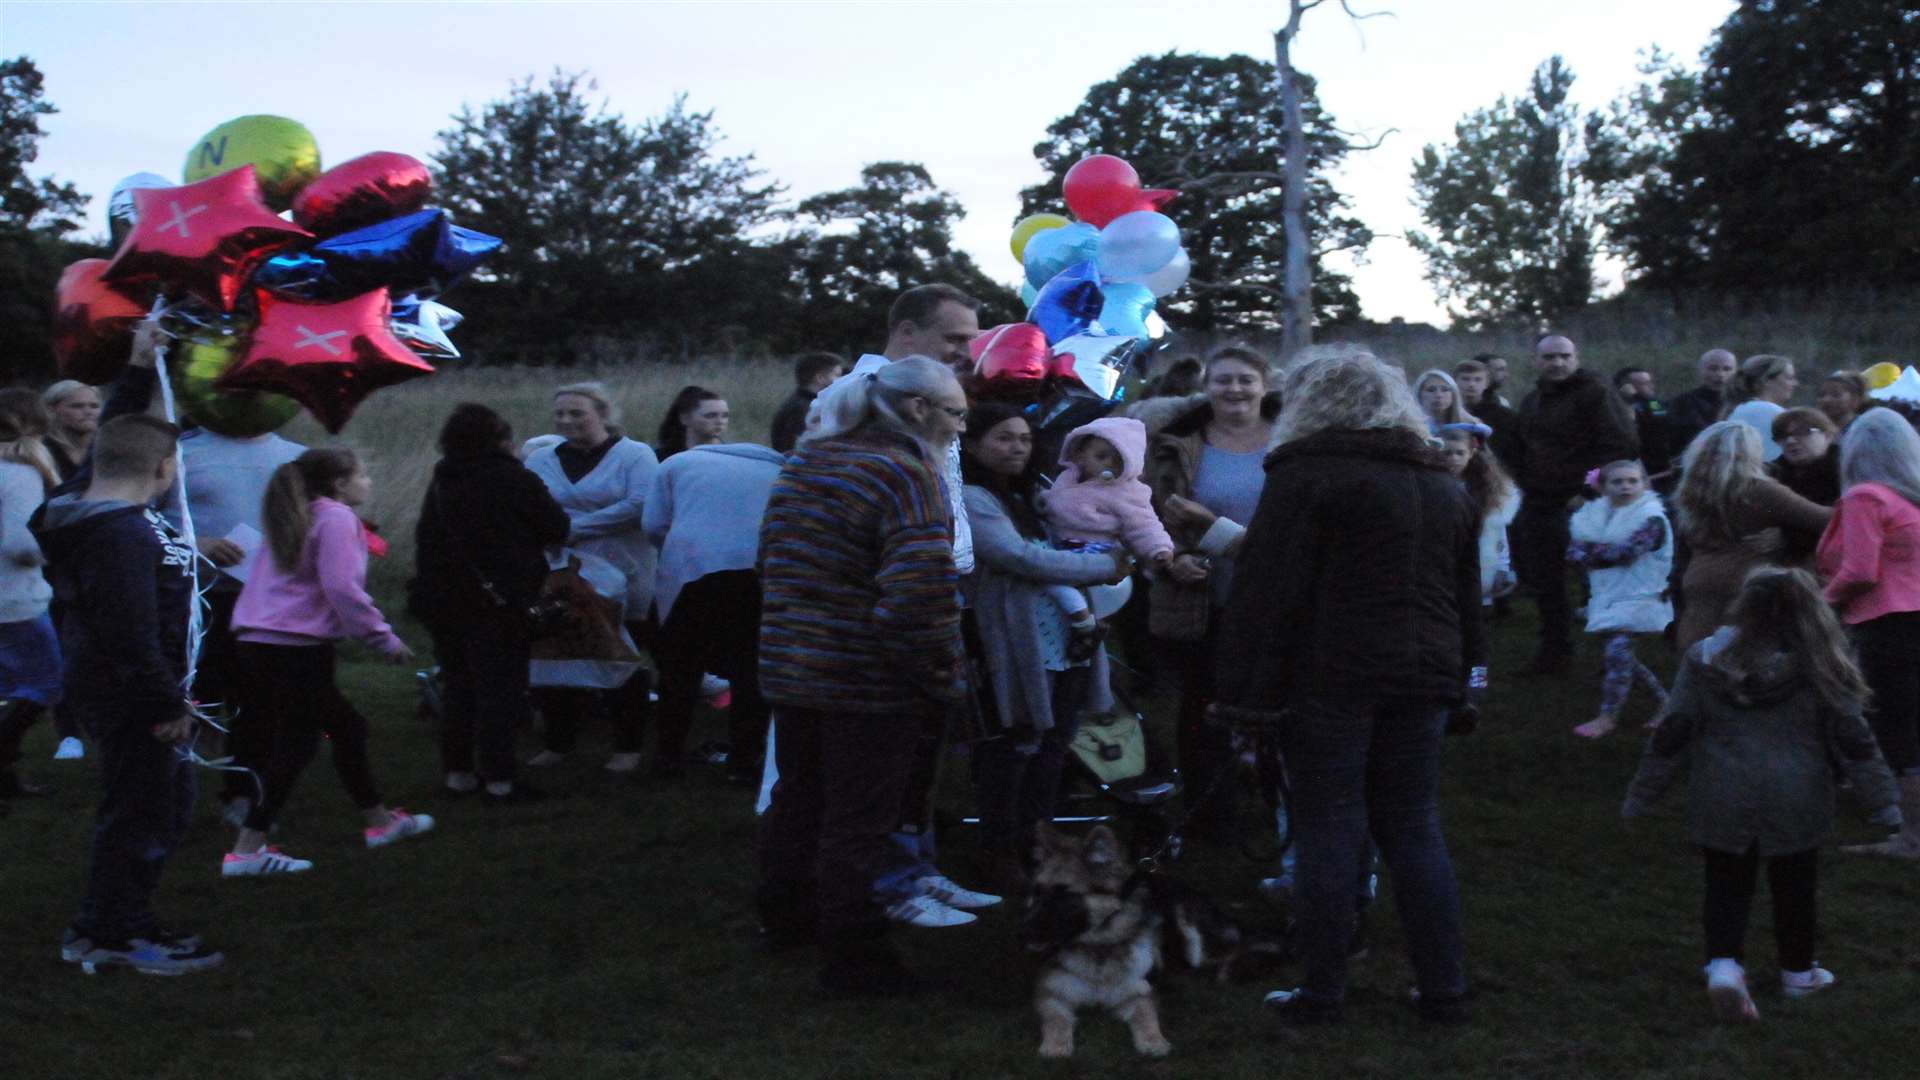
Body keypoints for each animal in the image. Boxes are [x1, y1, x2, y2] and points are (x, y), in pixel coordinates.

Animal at [1029, 818, 1282, 1053]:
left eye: (1065, 895)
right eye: (1038, 892)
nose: (1025, 931)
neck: (1099, 947)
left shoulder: (1140, 992)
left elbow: (1145, 1014)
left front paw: (1153, 1041)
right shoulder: (1050, 993)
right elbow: (1055, 1019)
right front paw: (1055, 1046)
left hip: (1192, 937)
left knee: (1238, 947)